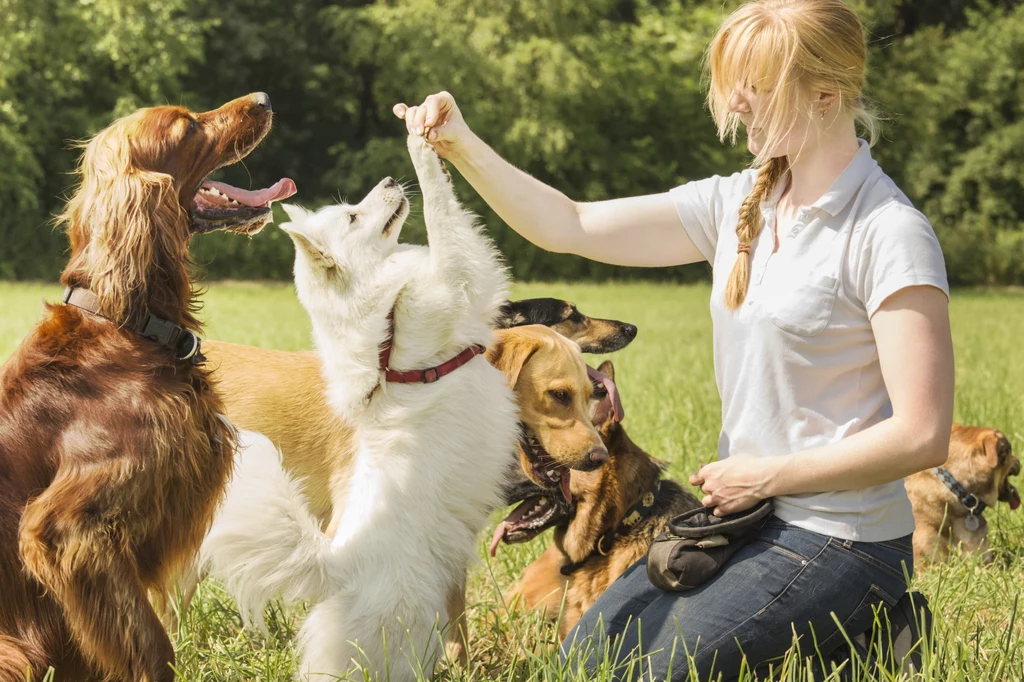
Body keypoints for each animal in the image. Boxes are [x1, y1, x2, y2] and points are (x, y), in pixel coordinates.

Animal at [0, 94, 294, 679]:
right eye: (187, 128)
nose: (265, 100)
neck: (126, 323)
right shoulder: (65, 531)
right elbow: (154, 645)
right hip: (12, 651)